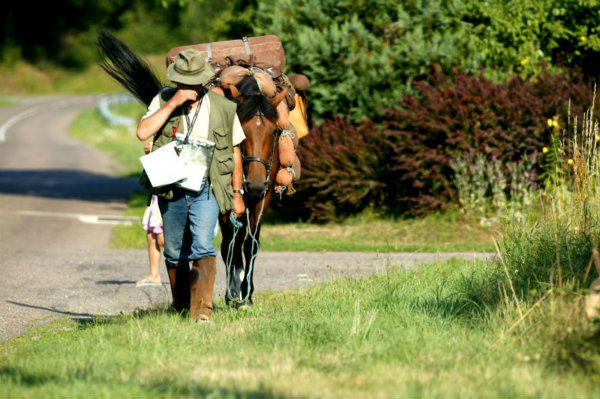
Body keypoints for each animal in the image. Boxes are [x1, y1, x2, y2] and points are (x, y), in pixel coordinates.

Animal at [219, 76, 290, 306]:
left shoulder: (262, 199)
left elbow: (251, 245)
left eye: (274, 131)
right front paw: (231, 294)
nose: (255, 184)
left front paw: (247, 293)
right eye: (240, 131)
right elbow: (229, 245)